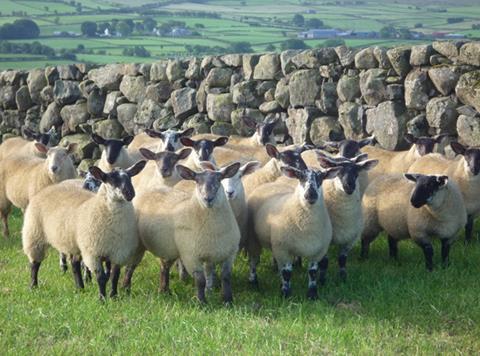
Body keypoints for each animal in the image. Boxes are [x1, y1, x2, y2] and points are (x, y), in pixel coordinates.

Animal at [131, 162, 242, 304]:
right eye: (197, 181)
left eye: (219, 179)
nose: (208, 199)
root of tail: (150, 190)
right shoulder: (191, 256)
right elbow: (200, 281)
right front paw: (202, 302)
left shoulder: (230, 254)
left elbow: (226, 277)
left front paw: (228, 300)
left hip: (169, 247)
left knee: (164, 267)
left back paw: (164, 291)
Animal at [246, 165, 340, 298]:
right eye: (300, 177)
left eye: (321, 177)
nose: (311, 194)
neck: (307, 226)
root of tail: (269, 184)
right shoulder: (284, 249)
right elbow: (287, 273)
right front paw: (286, 294)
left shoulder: (318, 251)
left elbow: (313, 272)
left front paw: (312, 294)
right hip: (254, 239)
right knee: (253, 261)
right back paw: (253, 282)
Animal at [316, 152, 378, 280]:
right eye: (338, 173)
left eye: (356, 173)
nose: (349, 186)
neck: (344, 217)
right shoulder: (323, 241)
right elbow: (324, 262)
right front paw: (322, 280)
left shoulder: (350, 239)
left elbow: (342, 260)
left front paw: (343, 278)